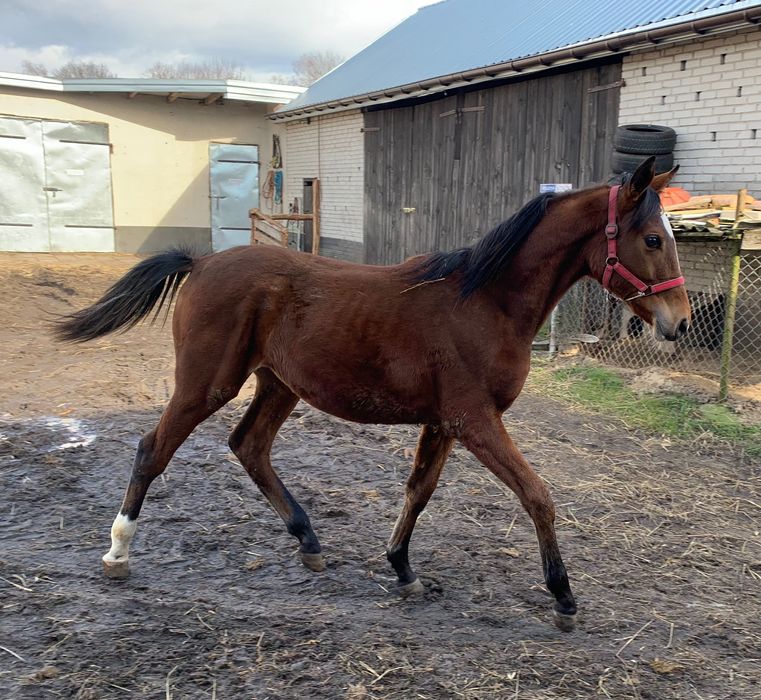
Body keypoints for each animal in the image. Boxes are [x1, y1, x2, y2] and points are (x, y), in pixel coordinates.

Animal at [58, 157, 688, 628]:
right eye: (653, 238)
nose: (679, 323)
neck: (486, 303)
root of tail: (202, 261)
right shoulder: (474, 421)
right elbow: (538, 495)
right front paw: (563, 597)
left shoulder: (443, 424)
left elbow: (418, 493)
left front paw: (402, 569)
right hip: (206, 384)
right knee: (153, 449)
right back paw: (118, 551)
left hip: (278, 385)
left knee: (249, 446)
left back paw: (309, 541)